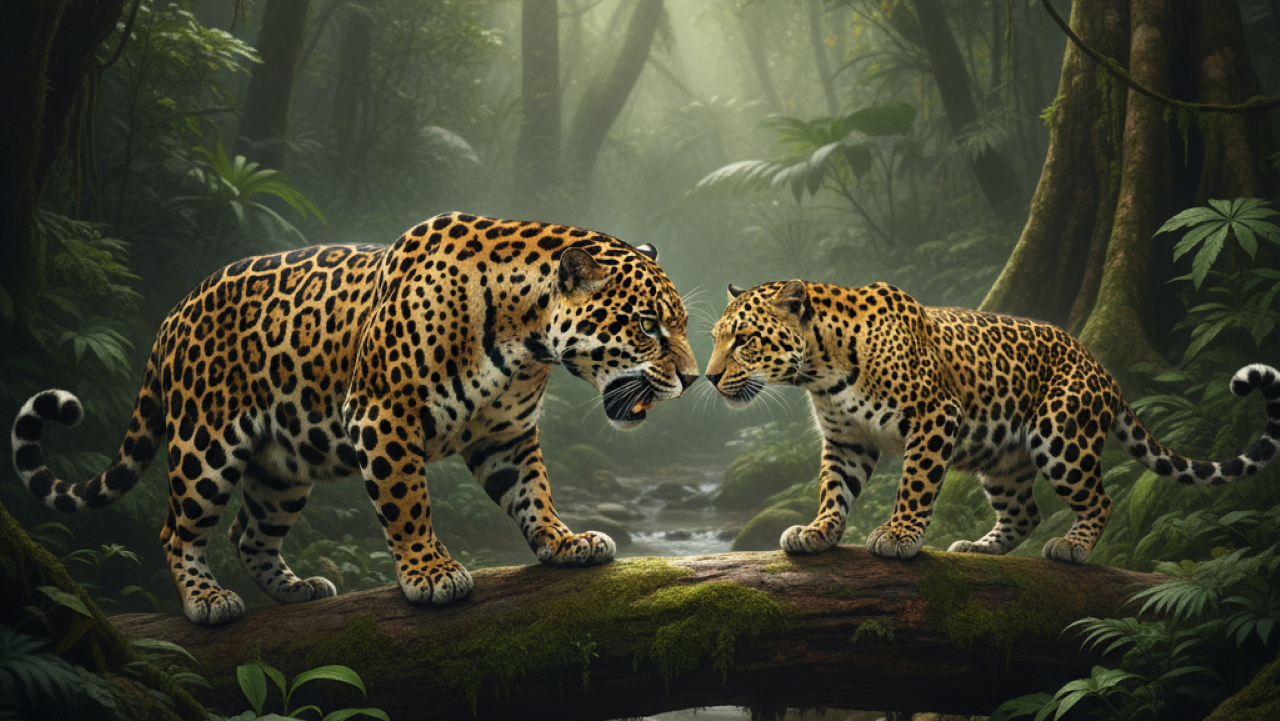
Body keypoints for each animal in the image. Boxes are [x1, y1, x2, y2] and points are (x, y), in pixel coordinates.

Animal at [11, 211, 699, 625]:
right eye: (647, 325)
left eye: (684, 323)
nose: (694, 379)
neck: (524, 334)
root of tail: (172, 315)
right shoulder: (382, 417)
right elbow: (408, 504)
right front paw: (431, 573)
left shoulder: (505, 435)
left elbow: (534, 494)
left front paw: (564, 542)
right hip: (206, 444)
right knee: (177, 529)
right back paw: (207, 599)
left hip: (283, 468)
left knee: (247, 533)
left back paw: (296, 589)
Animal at [706, 279, 1280, 563]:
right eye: (715, 338)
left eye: (744, 339)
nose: (708, 378)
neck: (820, 367)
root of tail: (1105, 371)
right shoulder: (846, 440)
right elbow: (833, 490)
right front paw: (818, 532)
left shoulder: (935, 416)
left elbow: (914, 485)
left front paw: (899, 535)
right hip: (1004, 462)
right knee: (1024, 512)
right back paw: (978, 548)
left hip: (1060, 436)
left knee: (1101, 498)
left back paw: (1073, 548)